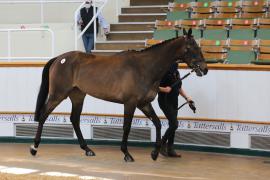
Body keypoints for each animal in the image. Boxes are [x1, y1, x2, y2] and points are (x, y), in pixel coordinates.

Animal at [29, 28, 208, 162]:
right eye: (192, 47)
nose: (205, 69)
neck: (144, 67)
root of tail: (60, 58)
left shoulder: (144, 103)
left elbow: (157, 123)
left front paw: (155, 153)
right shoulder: (130, 103)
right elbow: (127, 126)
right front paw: (126, 154)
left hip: (78, 96)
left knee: (74, 119)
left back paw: (87, 149)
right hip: (58, 94)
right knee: (44, 114)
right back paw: (34, 147)